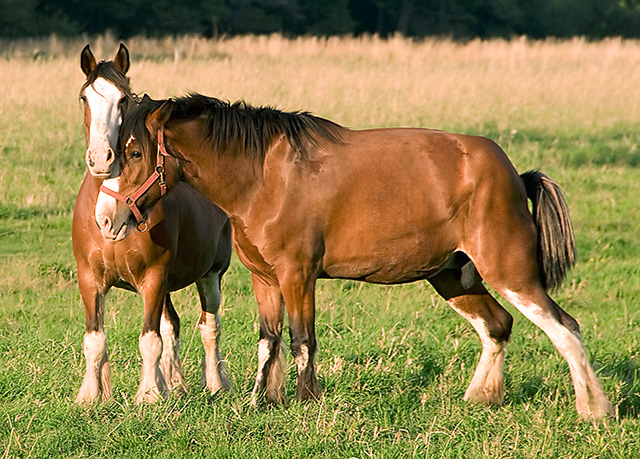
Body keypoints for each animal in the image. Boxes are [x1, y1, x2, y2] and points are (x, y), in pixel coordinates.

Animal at [74, 48, 232, 404]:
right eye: (85, 97)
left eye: (123, 99)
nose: (100, 158)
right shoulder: (90, 279)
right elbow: (95, 340)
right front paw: (90, 396)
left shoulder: (154, 276)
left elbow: (150, 340)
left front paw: (148, 395)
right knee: (171, 325)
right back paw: (174, 383)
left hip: (210, 275)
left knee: (209, 327)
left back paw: (216, 383)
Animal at [110, 94, 616, 420]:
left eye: (135, 152)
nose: (109, 217)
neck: (262, 177)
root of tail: (513, 173)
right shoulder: (265, 280)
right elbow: (268, 340)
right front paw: (260, 402)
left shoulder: (298, 276)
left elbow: (302, 340)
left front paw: (307, 401)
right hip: (453, 276)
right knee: (497, 325)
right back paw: (481, 397)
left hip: (511, 273)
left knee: (564, 328)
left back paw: (594, 409)